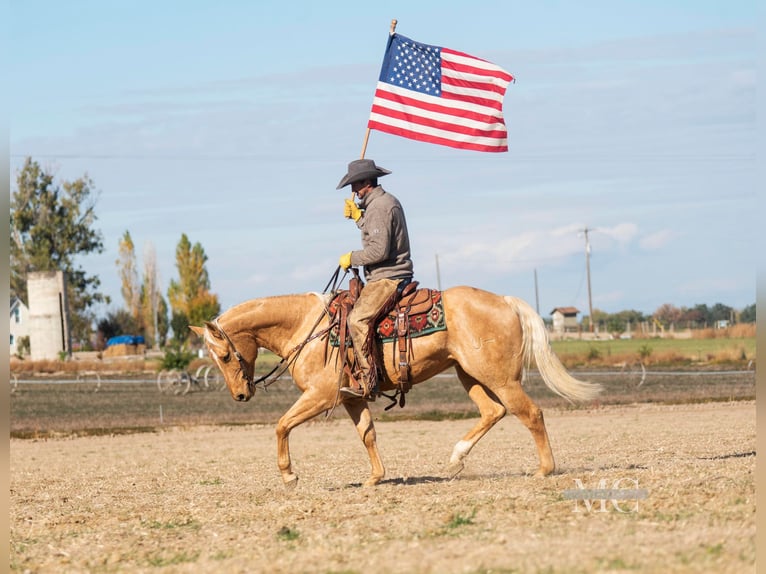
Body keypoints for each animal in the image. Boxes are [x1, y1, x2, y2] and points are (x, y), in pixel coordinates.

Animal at [190, 286, 600, 488]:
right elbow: (367, 433)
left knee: (529, 413)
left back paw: (544, 470)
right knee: (493, 411)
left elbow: (281, 425)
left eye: (223, 355)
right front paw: (375, 477)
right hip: (468, 374)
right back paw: (456, 459)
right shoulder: (351, 398)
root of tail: (505, 301)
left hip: (500, 377)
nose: (241, 395)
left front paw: (289, 476)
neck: (306, 328)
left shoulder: (320, 396)